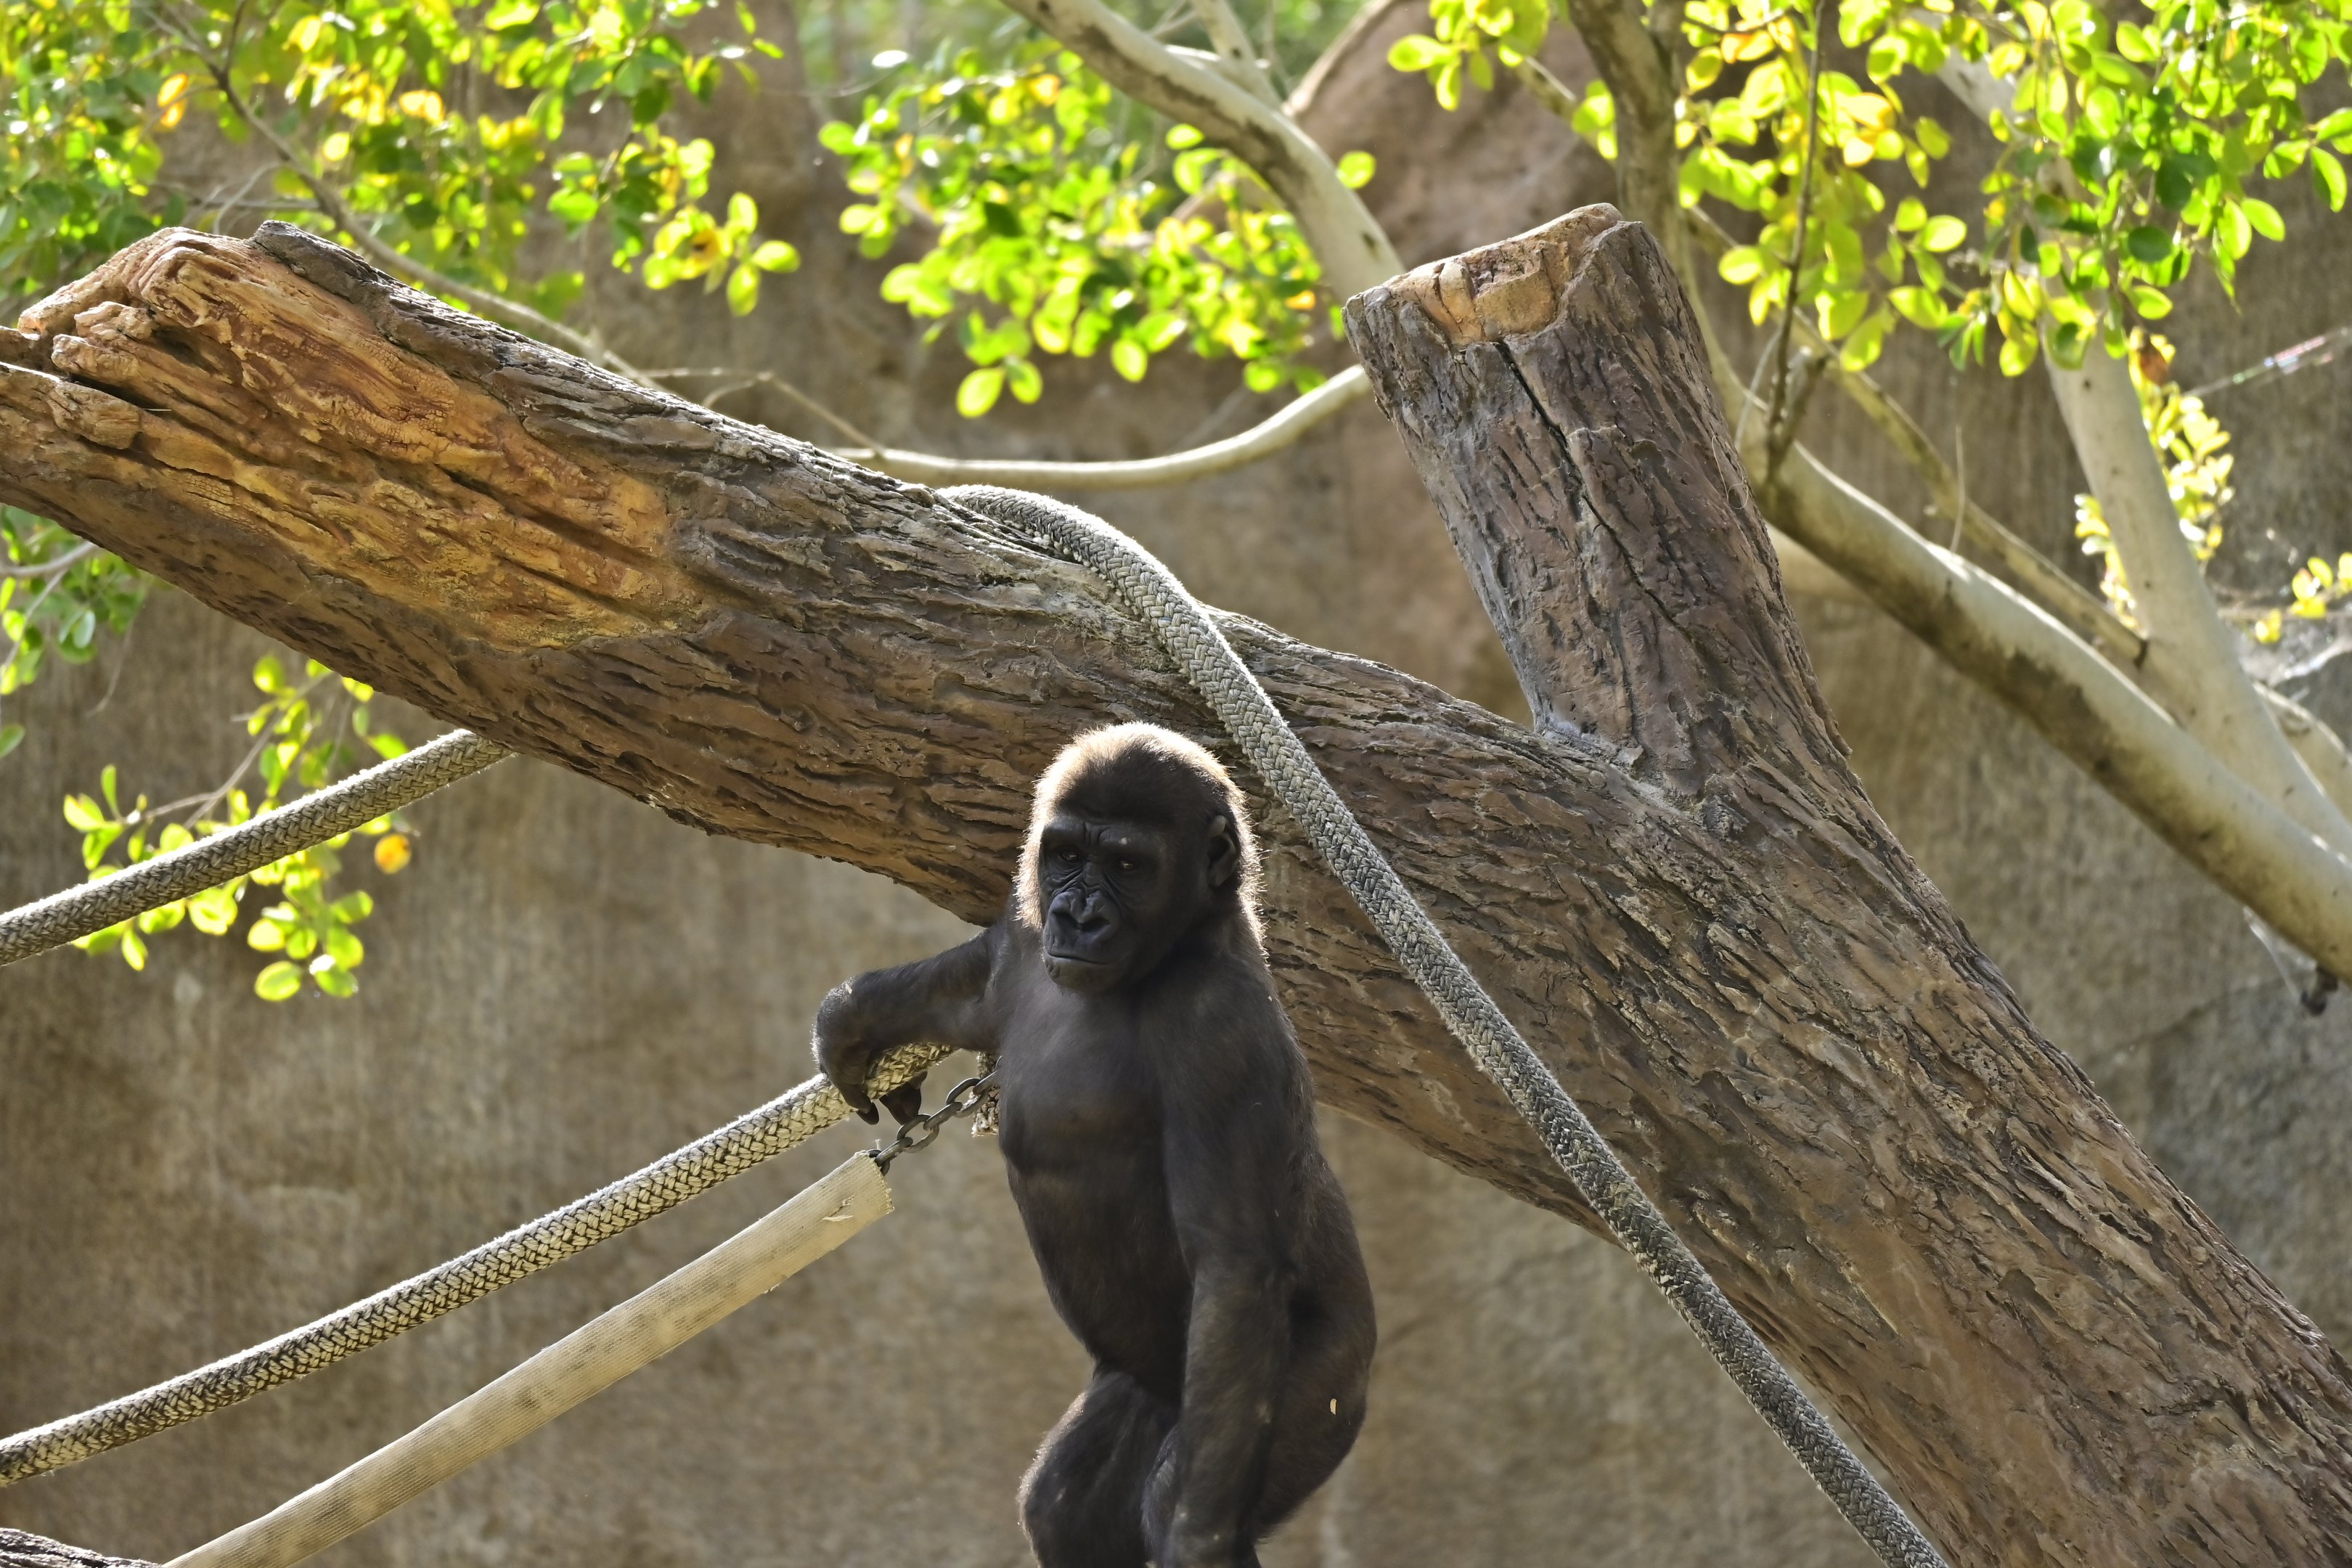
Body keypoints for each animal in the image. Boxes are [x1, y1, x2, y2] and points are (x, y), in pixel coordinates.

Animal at [814, 723, 1376, 1568]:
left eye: (1128, 866)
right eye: (1068, 856)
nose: (1079, 916)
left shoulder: (1220, 1028)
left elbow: (1236, 1265)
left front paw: (1199, 1536)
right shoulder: (1024, 936)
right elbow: (974, 987)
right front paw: (857, 1017)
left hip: (1324, 1378)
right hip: (1150, 1391)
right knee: (1067, 1507)